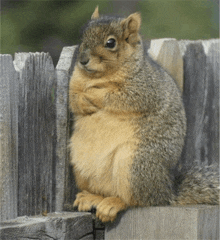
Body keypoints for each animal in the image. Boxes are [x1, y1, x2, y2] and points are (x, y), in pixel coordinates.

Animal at [68, 6, 218, 223]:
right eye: (82, 36)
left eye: (111, 43)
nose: (83, 60)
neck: (99, 76)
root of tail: (166, 191)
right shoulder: (74, 82)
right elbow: (73, 98)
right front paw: (82, 101)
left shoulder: (143, 88)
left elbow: (117, 96)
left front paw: (93, 94)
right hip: (81, 165)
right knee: (106, 192)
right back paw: (92, 197)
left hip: (134, 165)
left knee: (136, 200)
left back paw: (113, 204)